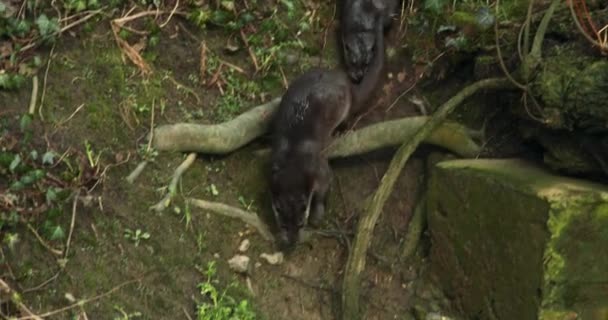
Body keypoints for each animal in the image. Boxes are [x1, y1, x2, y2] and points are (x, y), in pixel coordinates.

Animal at [270, 16, 384, 248]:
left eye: (301, 223)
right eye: (284, 225)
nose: (292, 242)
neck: (292, 161)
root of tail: (345, 83)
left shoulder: (318, 170)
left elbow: (324, 189)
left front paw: (317, 215)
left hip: (345, 106)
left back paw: (342, 131)